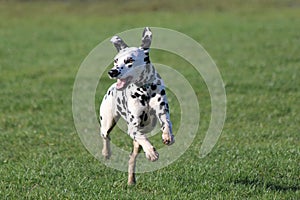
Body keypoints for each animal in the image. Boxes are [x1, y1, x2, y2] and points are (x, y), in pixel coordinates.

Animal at [99, 27, 173, 184]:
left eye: (130, 60)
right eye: (115, 60)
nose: (112, 71)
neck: (145, 90)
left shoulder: (163, 111)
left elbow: (167, 123)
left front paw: (168, 136)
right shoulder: (132, 128)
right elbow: (142, 137)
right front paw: (151, 152)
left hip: (135, 147)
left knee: (132, 158)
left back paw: (131, 180)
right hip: (107, 122)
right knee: (106, 136)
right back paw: (106, 153)